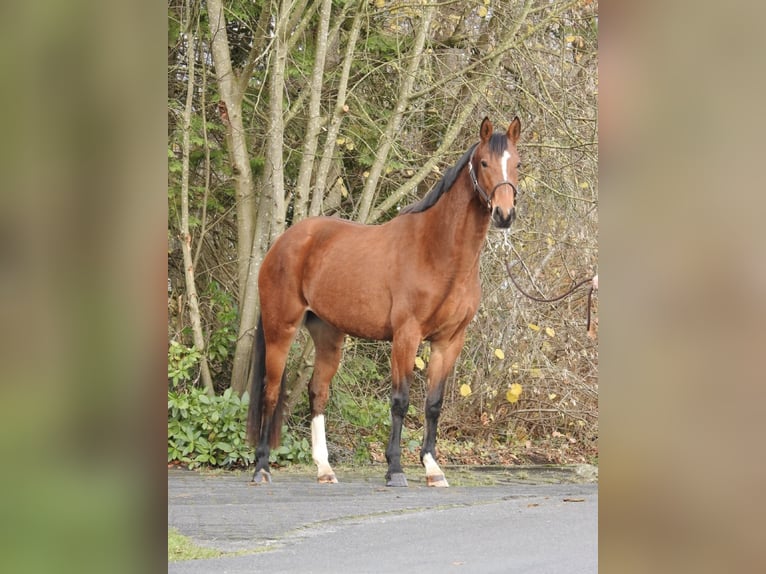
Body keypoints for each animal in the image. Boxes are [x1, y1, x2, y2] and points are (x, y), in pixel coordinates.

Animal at [249, 118, 524, 490]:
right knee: (272, 391)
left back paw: (324, 469)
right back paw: (262, 466)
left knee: (317, 392)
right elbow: (400, 400)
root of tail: (282, 243)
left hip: (328, 335)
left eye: (518, 164)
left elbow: (433, 404)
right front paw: (395, 468)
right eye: (484, 163)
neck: (438, 252)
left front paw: (433, 468)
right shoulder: (406, 336)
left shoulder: (449, 341)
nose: (504, 214)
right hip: (281, 328)